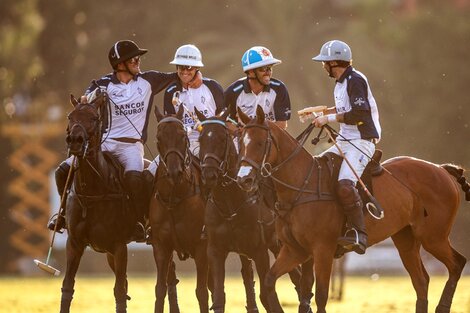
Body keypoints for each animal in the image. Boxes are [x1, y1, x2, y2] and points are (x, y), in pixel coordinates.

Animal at [61, 91, 137, 312]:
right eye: (70, 116)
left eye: (94, 118)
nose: (75, 141)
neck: (93, 190)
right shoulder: (74, 243)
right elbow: (67, 286)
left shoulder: (120, 246)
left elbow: (119, 291)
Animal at [149, 105, 211, 312]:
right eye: (159, 138)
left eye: (183, 136)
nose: (175, 172)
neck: (174, 198)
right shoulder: (161, 246)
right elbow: (160, 289)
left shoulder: (201, 247)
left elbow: (202, 292)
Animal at [237, 105, 468, 312]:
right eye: (240, 142)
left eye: (260, 143)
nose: (244, 179)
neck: (301, 186)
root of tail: (441, 169)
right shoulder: (295, 250)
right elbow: (273, 282)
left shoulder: (323, 249)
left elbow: (320, 295)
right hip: (406, 238)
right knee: (421, 281)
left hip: (433, 236)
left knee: (457, 264)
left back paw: (443, 307)